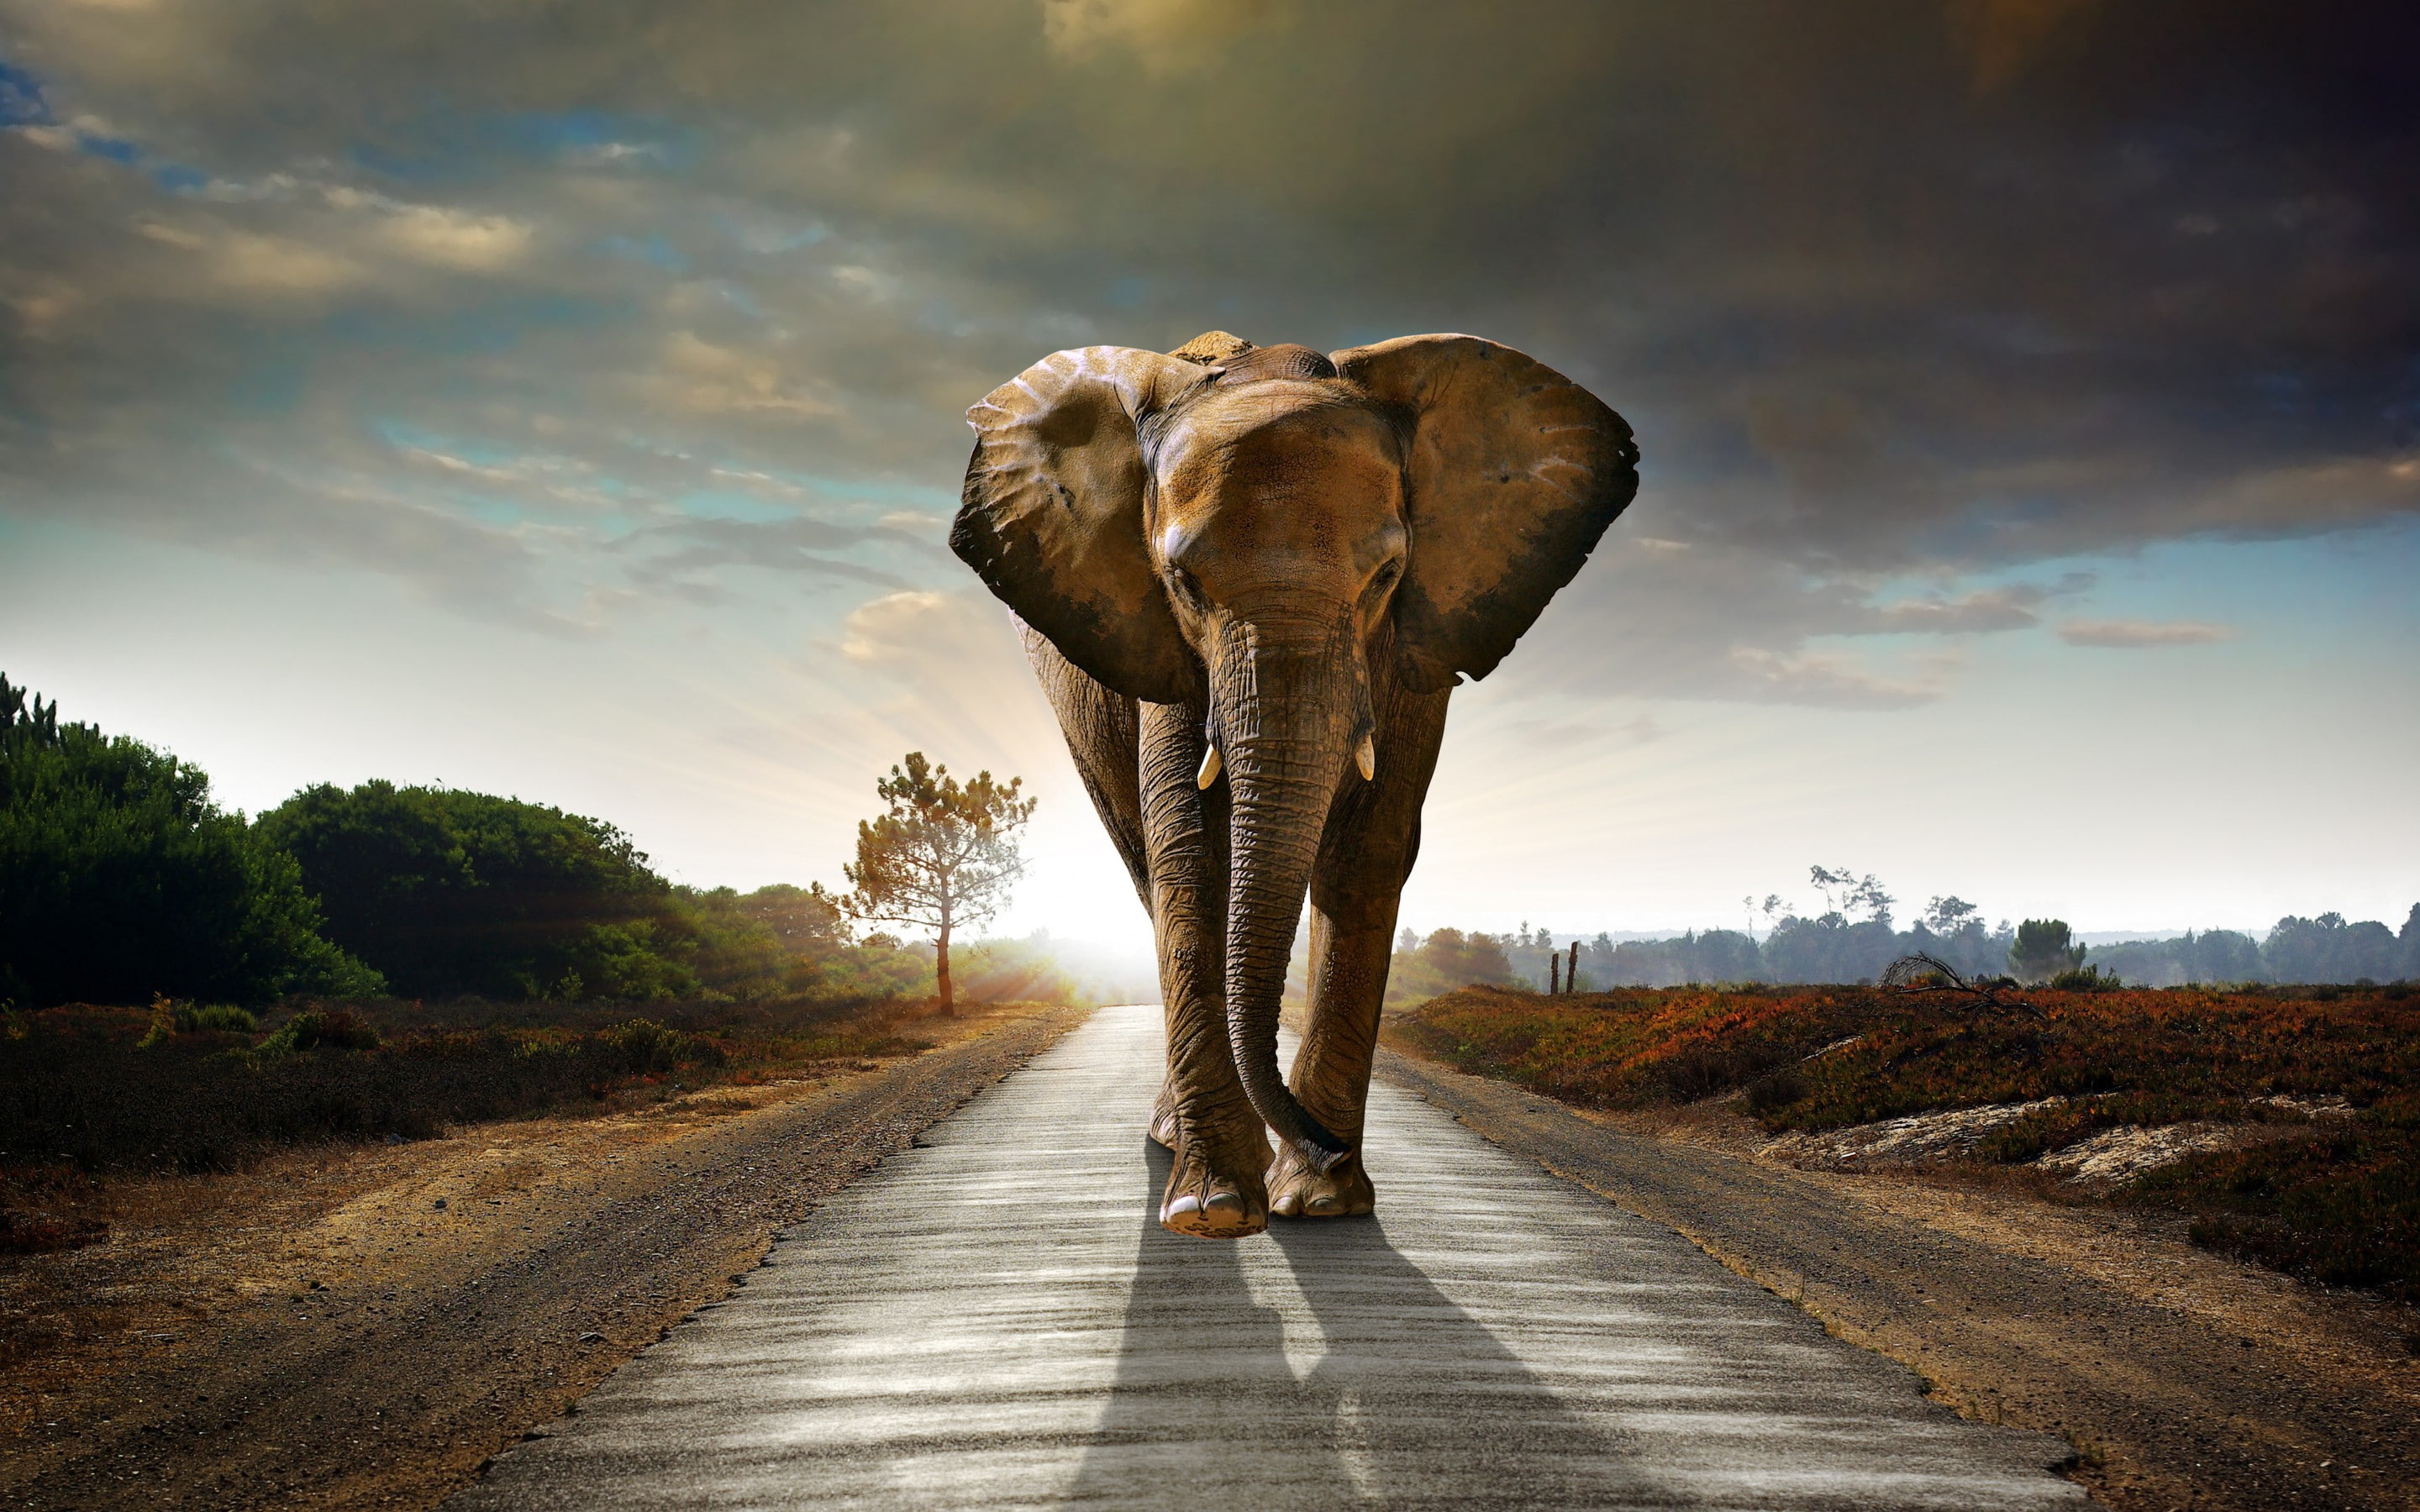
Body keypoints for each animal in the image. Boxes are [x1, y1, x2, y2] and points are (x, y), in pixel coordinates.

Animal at [952, 330, 1638, 1238]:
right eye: (1183, 582)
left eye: (1386, 576)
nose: (1325, 1143)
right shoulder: (1166, 649)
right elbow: (1193, 850)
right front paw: (1214, 1210)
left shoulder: (1413, 648)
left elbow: (1368, 850)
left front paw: (1321, 1202)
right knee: (1144, 865)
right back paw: (1178, 1144)